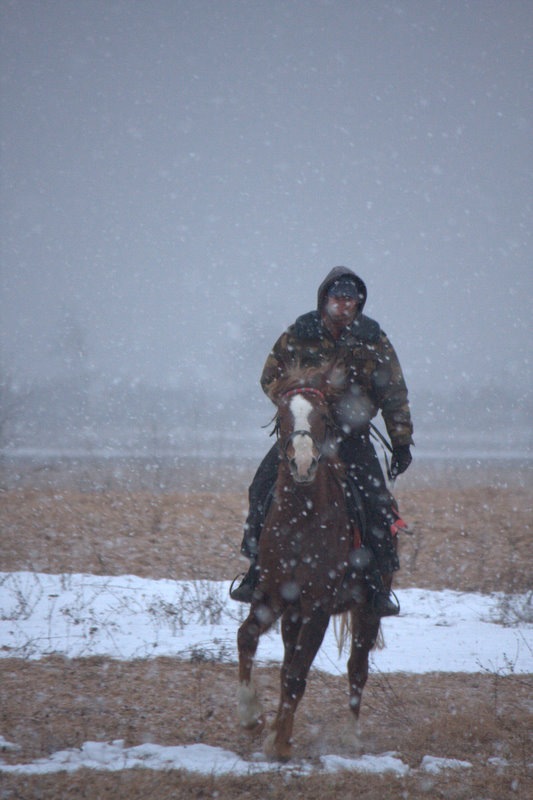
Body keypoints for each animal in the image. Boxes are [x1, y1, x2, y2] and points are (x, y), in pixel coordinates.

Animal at [237, 379, 384, 762]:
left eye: (322, 417)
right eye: (281, 418)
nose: (303, 463)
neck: (300, 520)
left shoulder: (317, 607)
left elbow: (298, 675)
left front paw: (279, 743)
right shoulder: (272, 597)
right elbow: (248, 637)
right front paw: (253, 717)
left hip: (367, 611)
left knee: (357, 668)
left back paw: (351, 738)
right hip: (292, 614)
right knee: (288, 659)